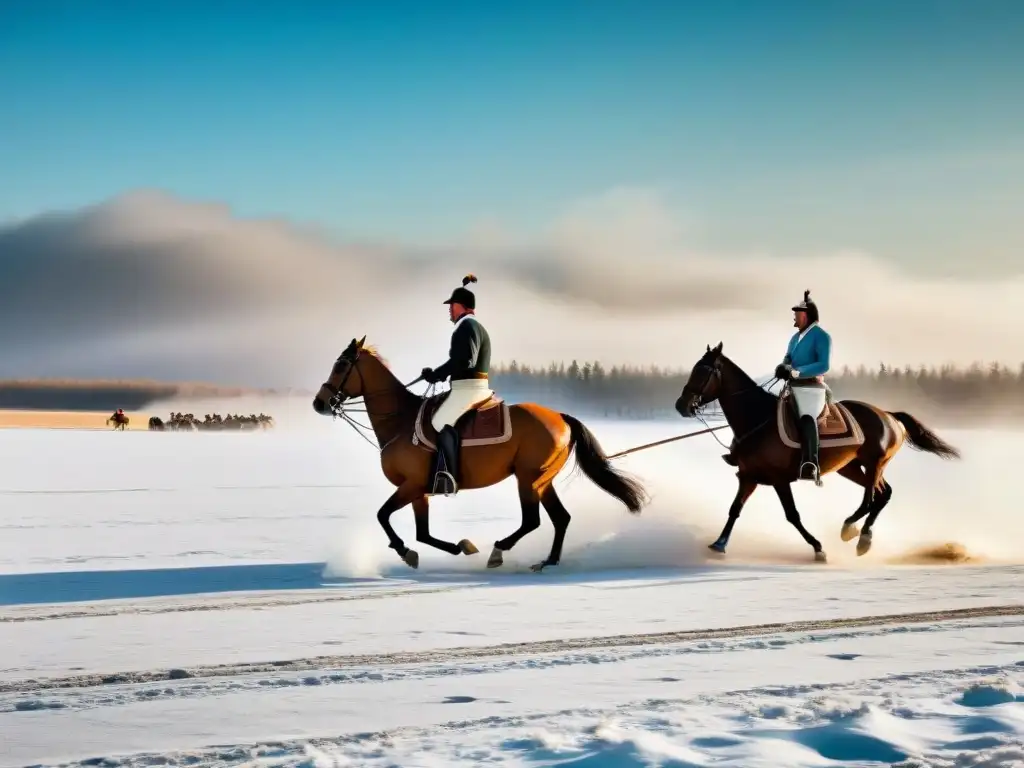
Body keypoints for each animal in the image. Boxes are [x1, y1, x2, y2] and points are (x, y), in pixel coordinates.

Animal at [309, 335, 647, 573]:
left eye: (341, 366)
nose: (319, 403)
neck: (400, 420)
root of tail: (561, 417)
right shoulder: (420, 491)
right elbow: (422, 533)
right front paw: (458, 547)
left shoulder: (411, 485)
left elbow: (384, 516)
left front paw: (406, 551)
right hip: (542, 480)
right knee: (560, 518)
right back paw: (547, 561)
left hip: (527, 478)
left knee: (533, 521)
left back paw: (499, 551)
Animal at [675, 346, 954, 561]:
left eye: (703, 371)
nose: (681, 406)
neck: (757, 418)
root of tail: (888, 415)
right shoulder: (748, 476)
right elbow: (734, 509)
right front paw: (719, 544)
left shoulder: (779, 480)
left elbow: (792, 515)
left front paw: (818, 548)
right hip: (851, 467)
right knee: (883, 494)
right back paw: (860, 534)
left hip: (875, 463)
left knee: (870, 498)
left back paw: (854, 532)